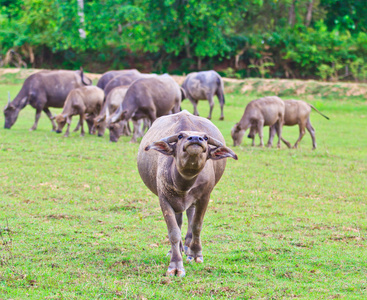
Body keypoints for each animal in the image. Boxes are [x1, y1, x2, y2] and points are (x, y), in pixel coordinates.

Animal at [138, 111, 239, 278]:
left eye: (205, 138)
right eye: (180, 136)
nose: (195, 139)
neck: (184, 185)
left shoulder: (204, 197)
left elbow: (197, 225)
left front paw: (196, 254)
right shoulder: (164, 199)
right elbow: (173, 232)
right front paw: (175, 264)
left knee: (190, 218)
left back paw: (188, 249)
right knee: (179, 222)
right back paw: (177, 249)